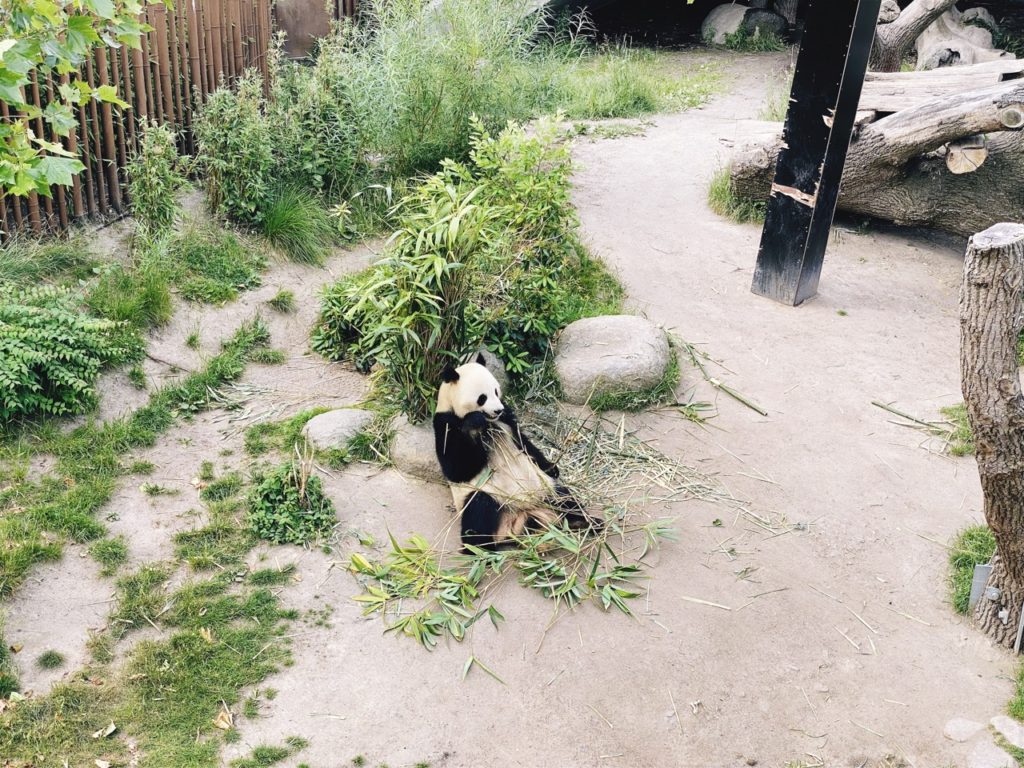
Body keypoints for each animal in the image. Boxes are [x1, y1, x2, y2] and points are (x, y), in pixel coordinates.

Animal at [433, 354, 600, 551]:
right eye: (482, 398)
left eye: (496, 391)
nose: (497, 409)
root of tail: (519, 522)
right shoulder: (445, 423)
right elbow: (457, 469)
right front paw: (474, 423)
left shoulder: (506, 419)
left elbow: (523, 442)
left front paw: (552, 467)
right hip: (489, 497)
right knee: (479, 509)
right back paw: (480, 550)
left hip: (542, 488)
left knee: (564, 498)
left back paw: (585, 522)